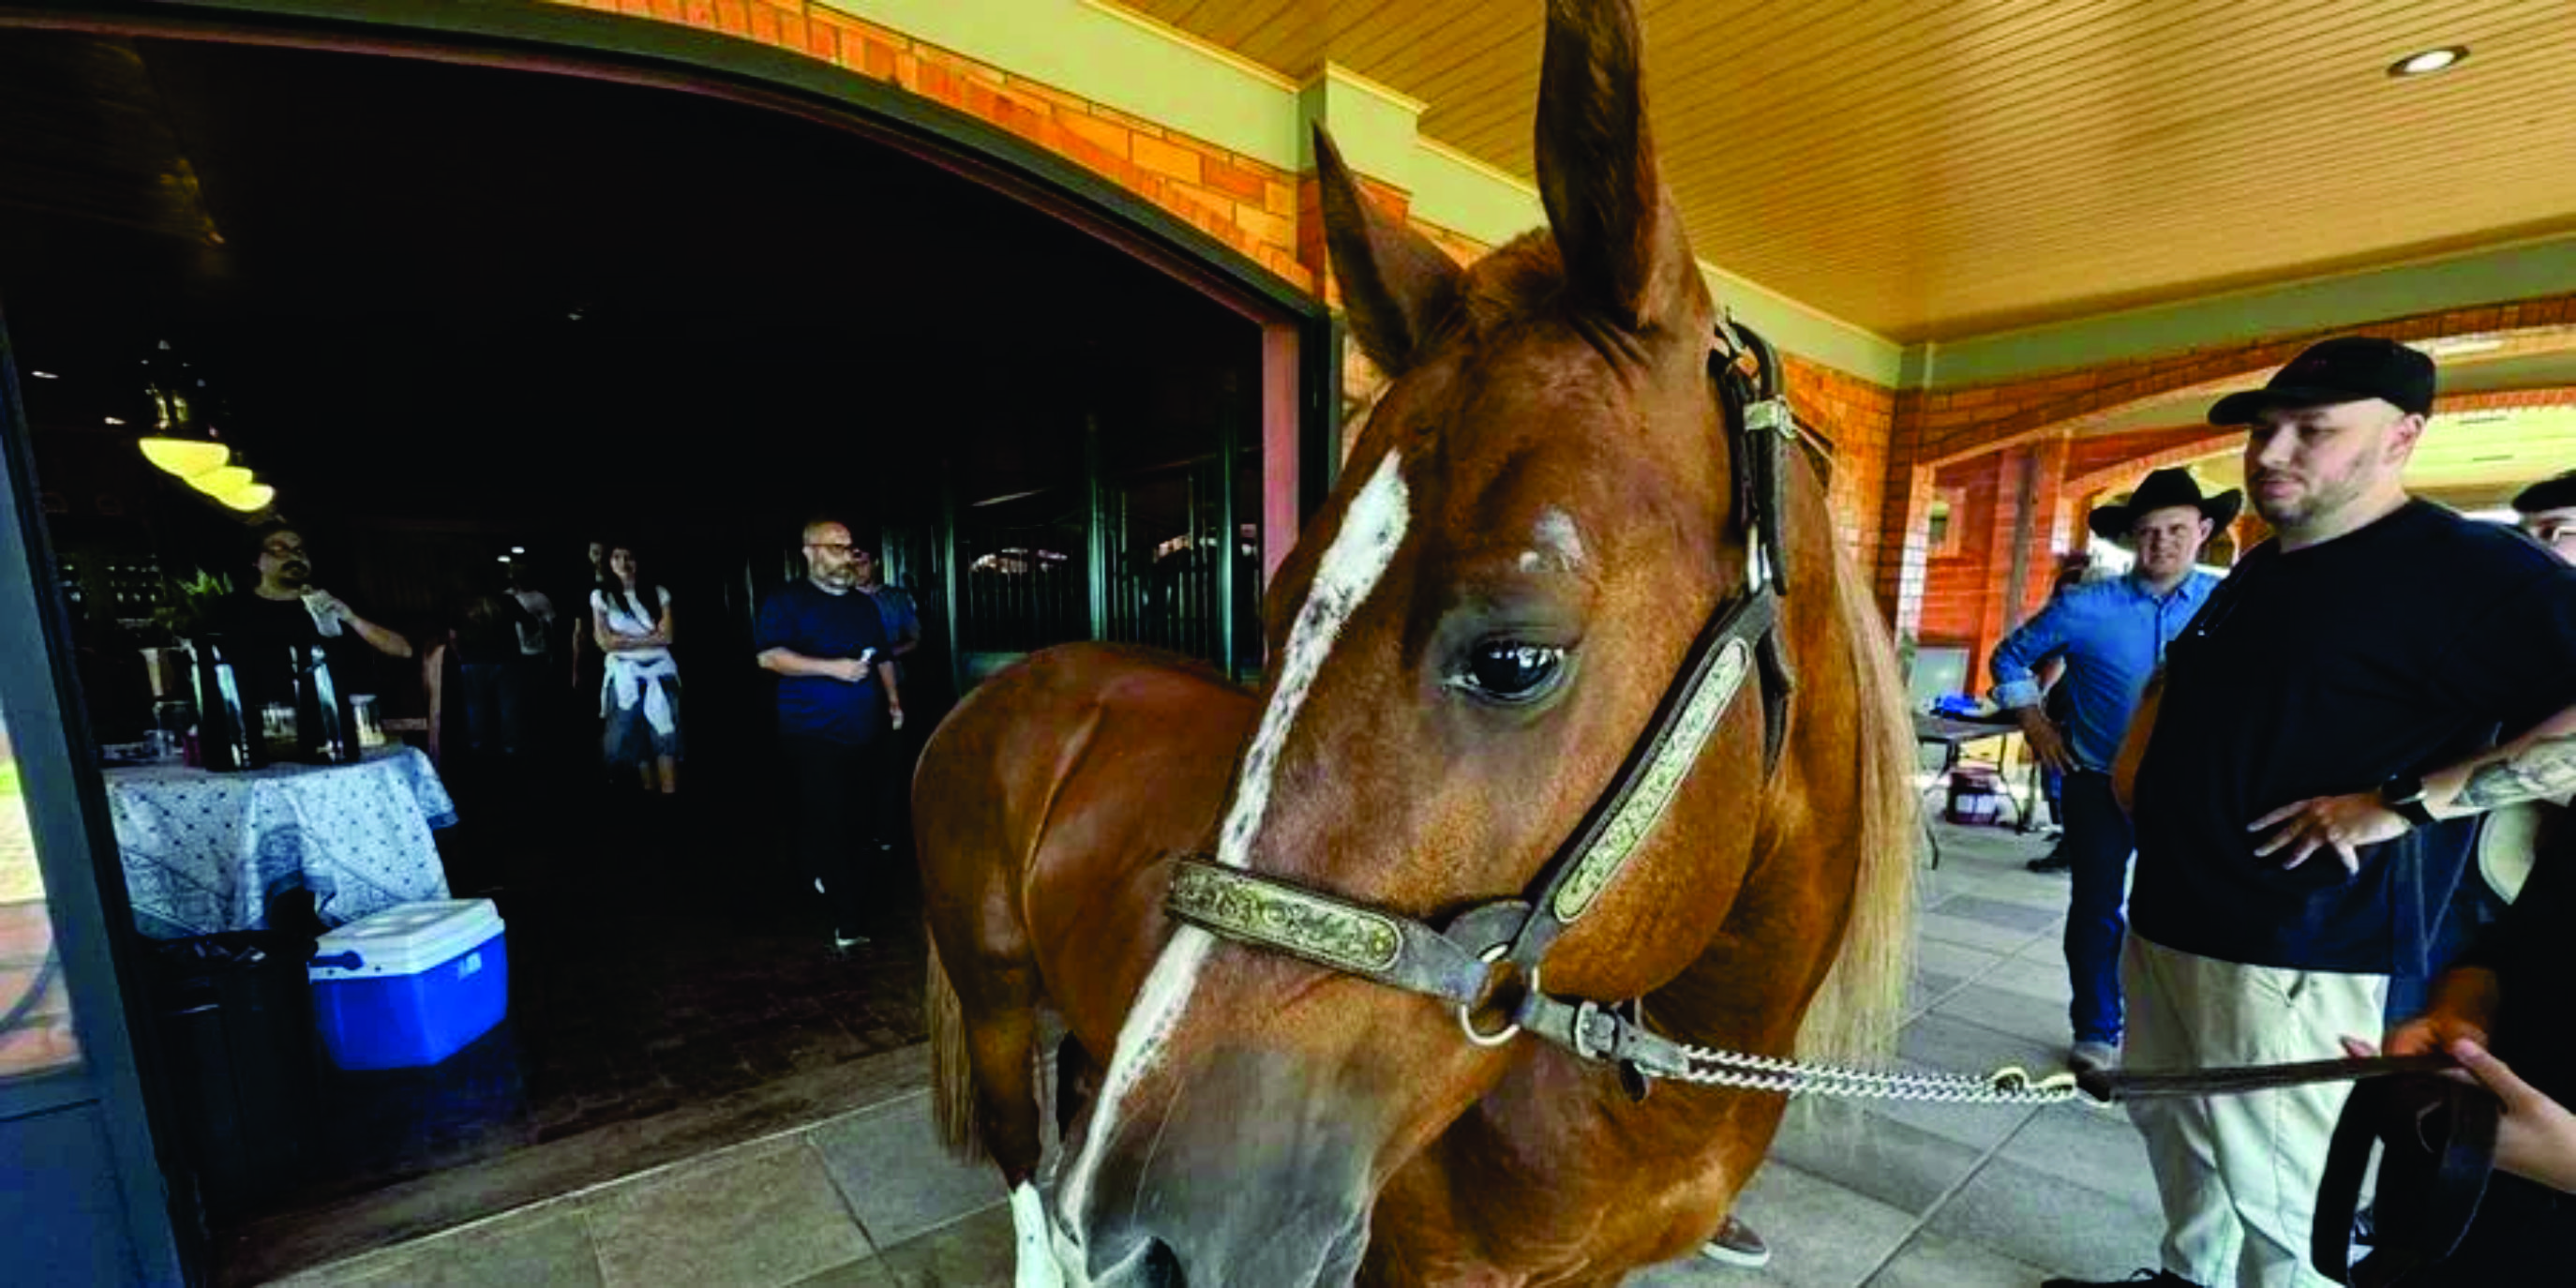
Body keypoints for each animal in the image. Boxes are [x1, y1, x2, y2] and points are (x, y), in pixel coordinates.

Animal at [913, 1, 1918, 1282]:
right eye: (1277, 606)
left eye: (1515, 659)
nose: (1149, 1239)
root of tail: (1019, 687)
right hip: (998, 1006)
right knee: (1032, 1179)